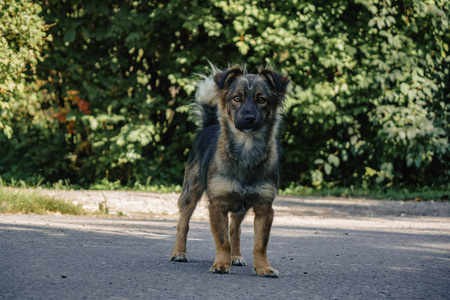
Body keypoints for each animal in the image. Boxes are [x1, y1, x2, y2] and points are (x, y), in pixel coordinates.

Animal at [171, 64, 290, 278]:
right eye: (236, 98)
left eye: (262, 99)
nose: (249, 118)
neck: (246, 151)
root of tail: (209, 125)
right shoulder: (217, 204)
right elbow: (222, 239)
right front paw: (220, 264)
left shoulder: (265, 207)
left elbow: (260, 243)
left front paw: (263, 267)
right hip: (191, 190)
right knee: (183, 222)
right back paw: (179, 252)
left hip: (240, 206)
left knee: (235, 230)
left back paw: (236, 257)